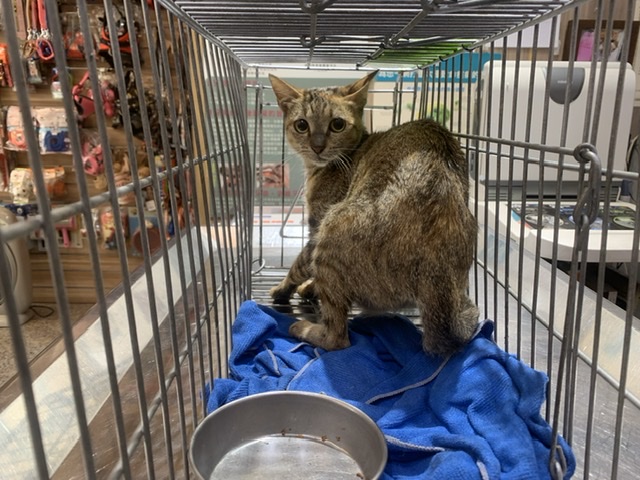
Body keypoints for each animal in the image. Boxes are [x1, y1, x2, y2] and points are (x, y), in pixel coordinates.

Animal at [268, 71, 479, 356]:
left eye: (337, 124)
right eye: (302, 125)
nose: (317, 146)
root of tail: (436, 275)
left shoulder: (316, 228)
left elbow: (300, 265)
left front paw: (283, 288)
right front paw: (309, 288)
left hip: (332, 227)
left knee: (338, 337)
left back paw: (304, 328)